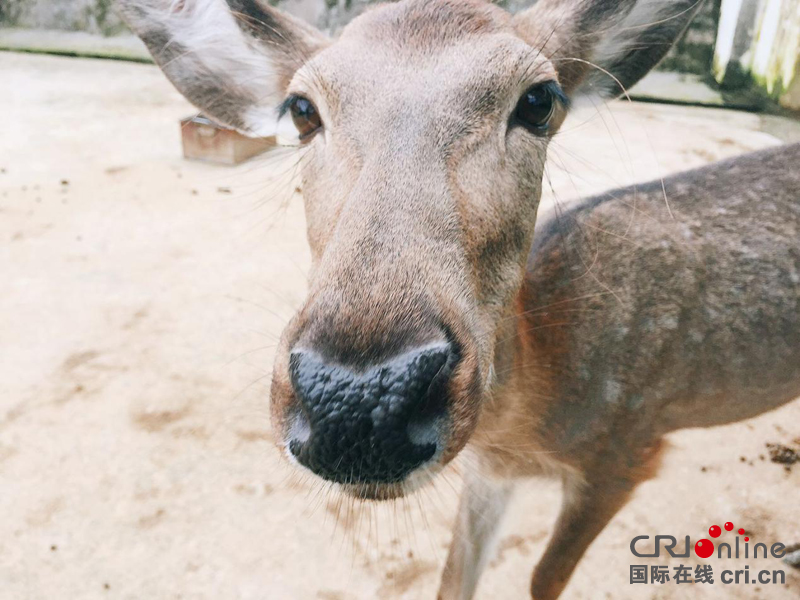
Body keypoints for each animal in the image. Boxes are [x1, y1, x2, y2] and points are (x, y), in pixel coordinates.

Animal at [119, 0, 800, 596]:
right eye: (302, 109)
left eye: (539, 100)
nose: (358, 401)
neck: (539, 408)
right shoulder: (489, 470)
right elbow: (453, 579)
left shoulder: (630, 446)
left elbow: (543, 580)